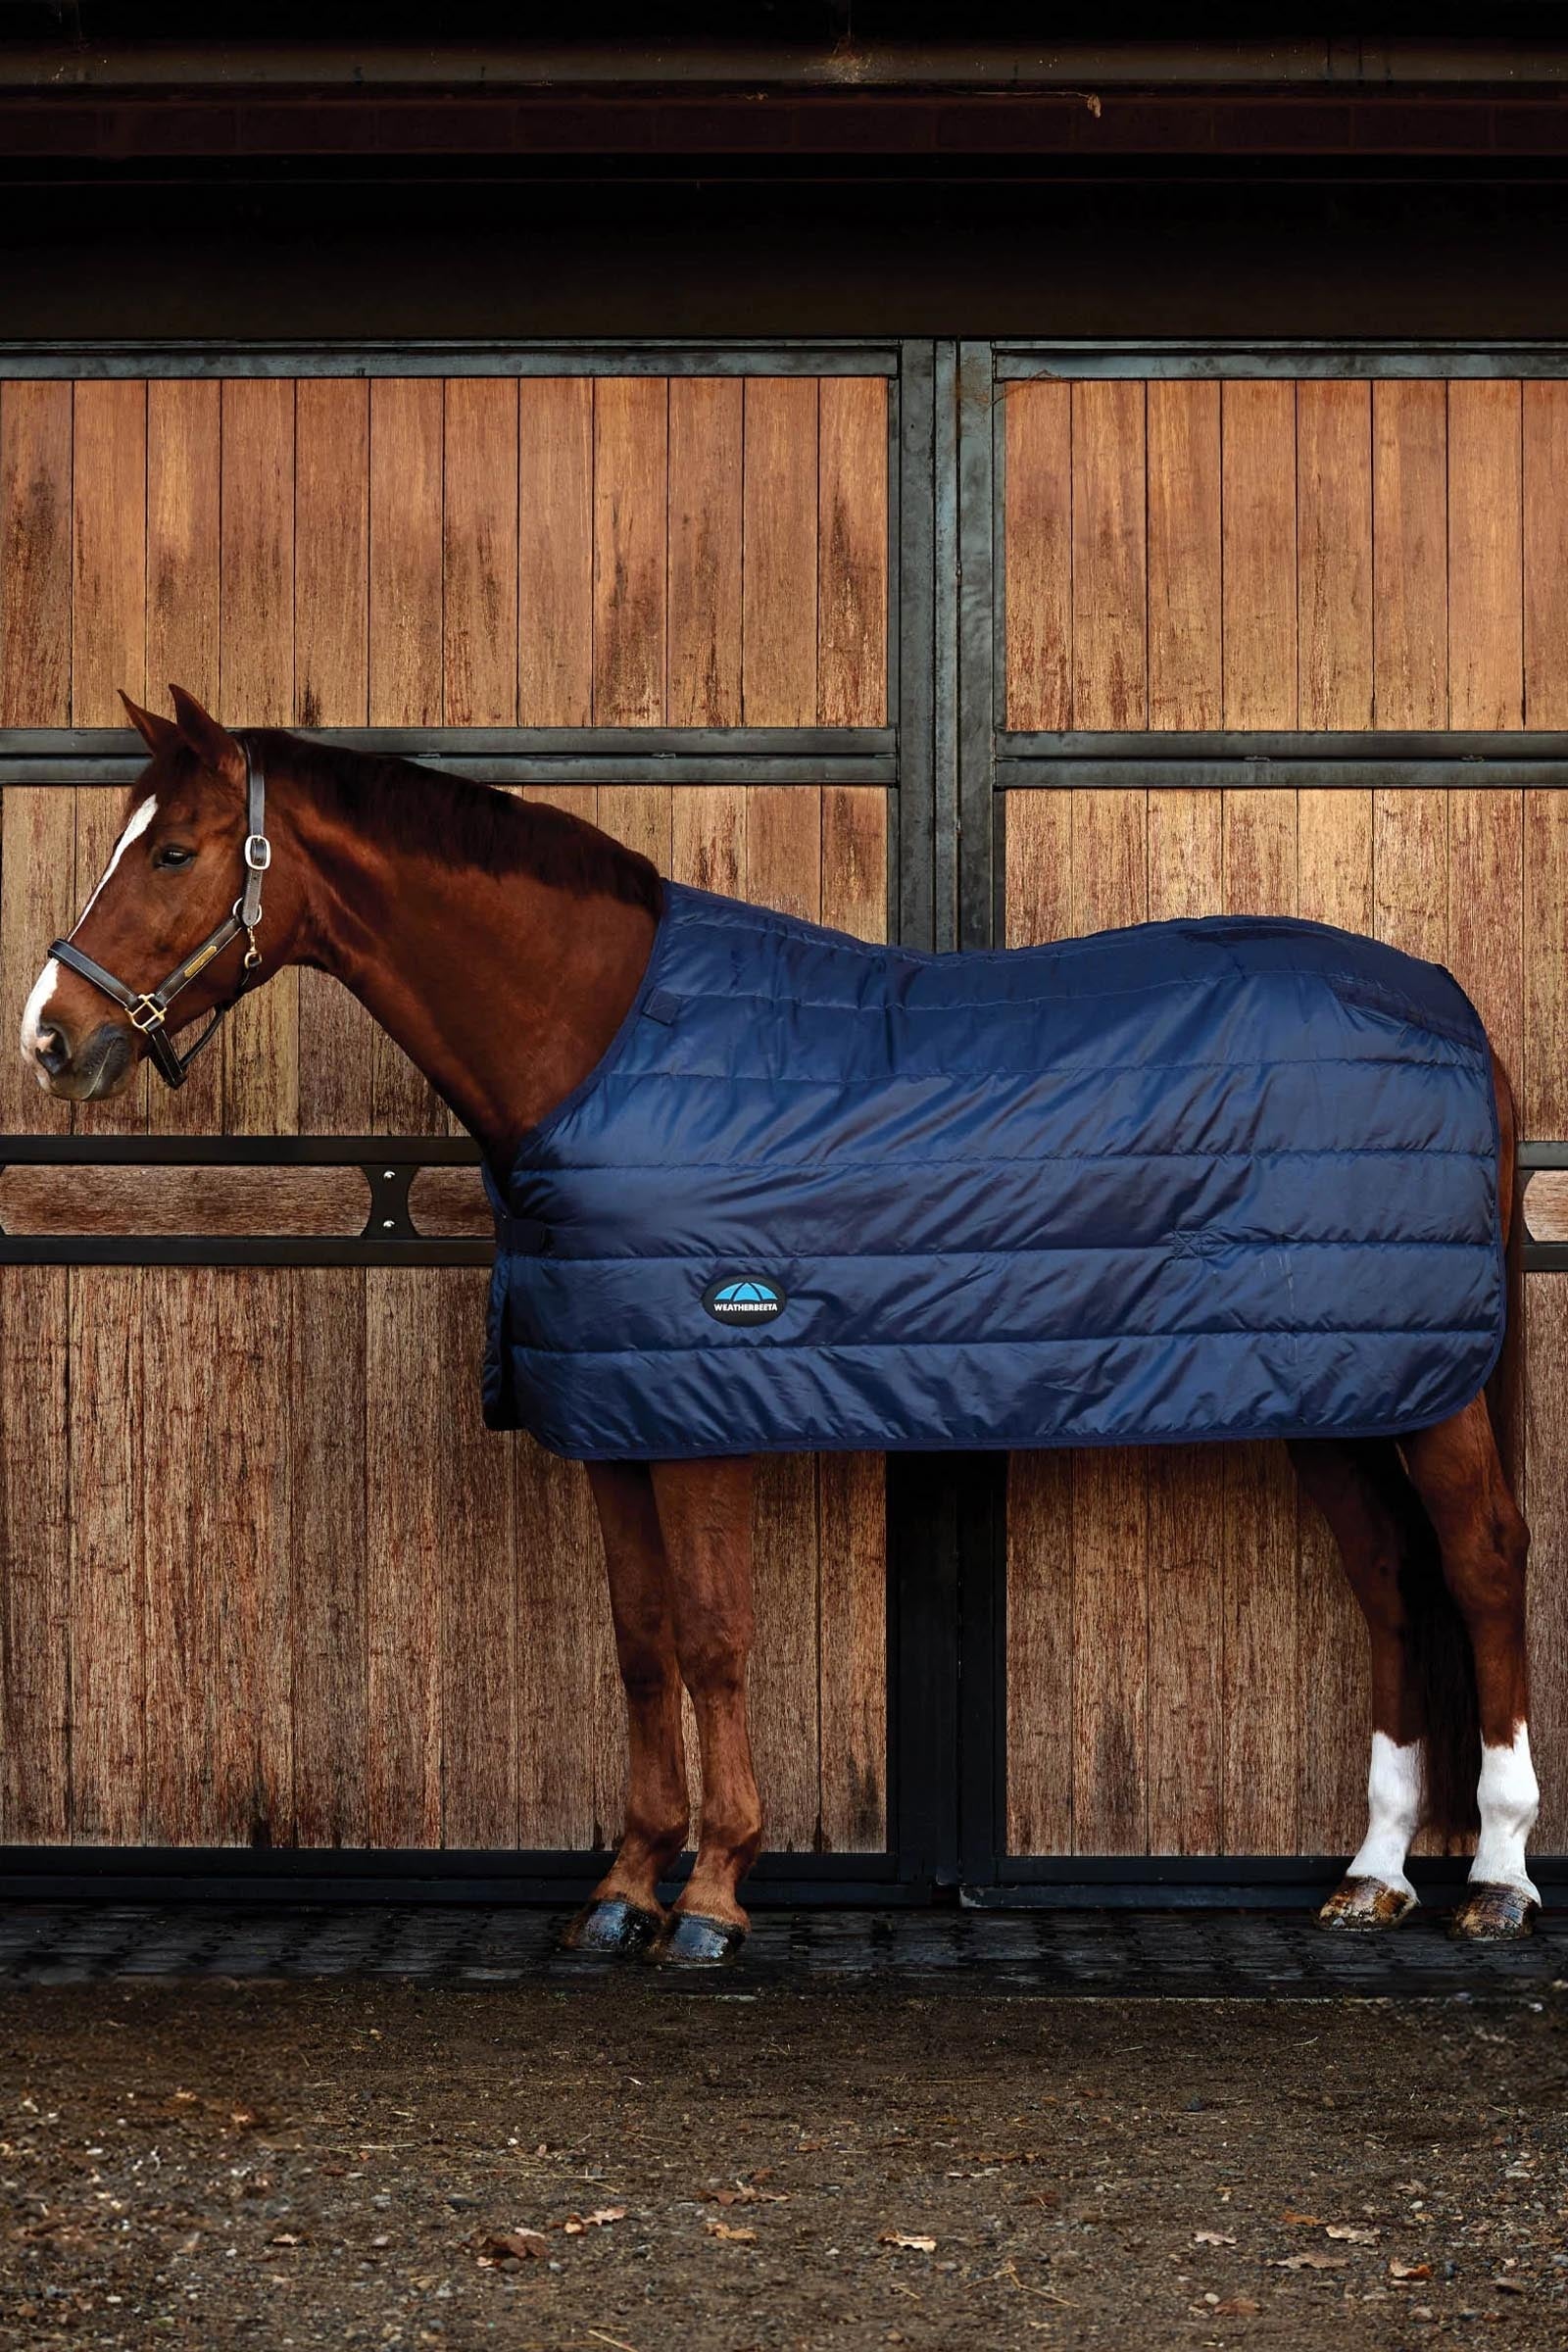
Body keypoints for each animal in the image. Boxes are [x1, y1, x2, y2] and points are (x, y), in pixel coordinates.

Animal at [21, 687, 1541, 1959]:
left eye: (175, 854)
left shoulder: (705, 1400)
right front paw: (623, 1888)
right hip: (1333, 1387)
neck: (600, 1046)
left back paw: (1497, 1877)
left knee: (1478, 1563)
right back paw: (1373, 1875)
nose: (49, 1037)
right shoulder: (615, 1410)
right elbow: (640, 1643)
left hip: (1431, 1393)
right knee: (1387, 1581)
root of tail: (1454, 1012)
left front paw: (712, 1894)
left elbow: (709, 1637)